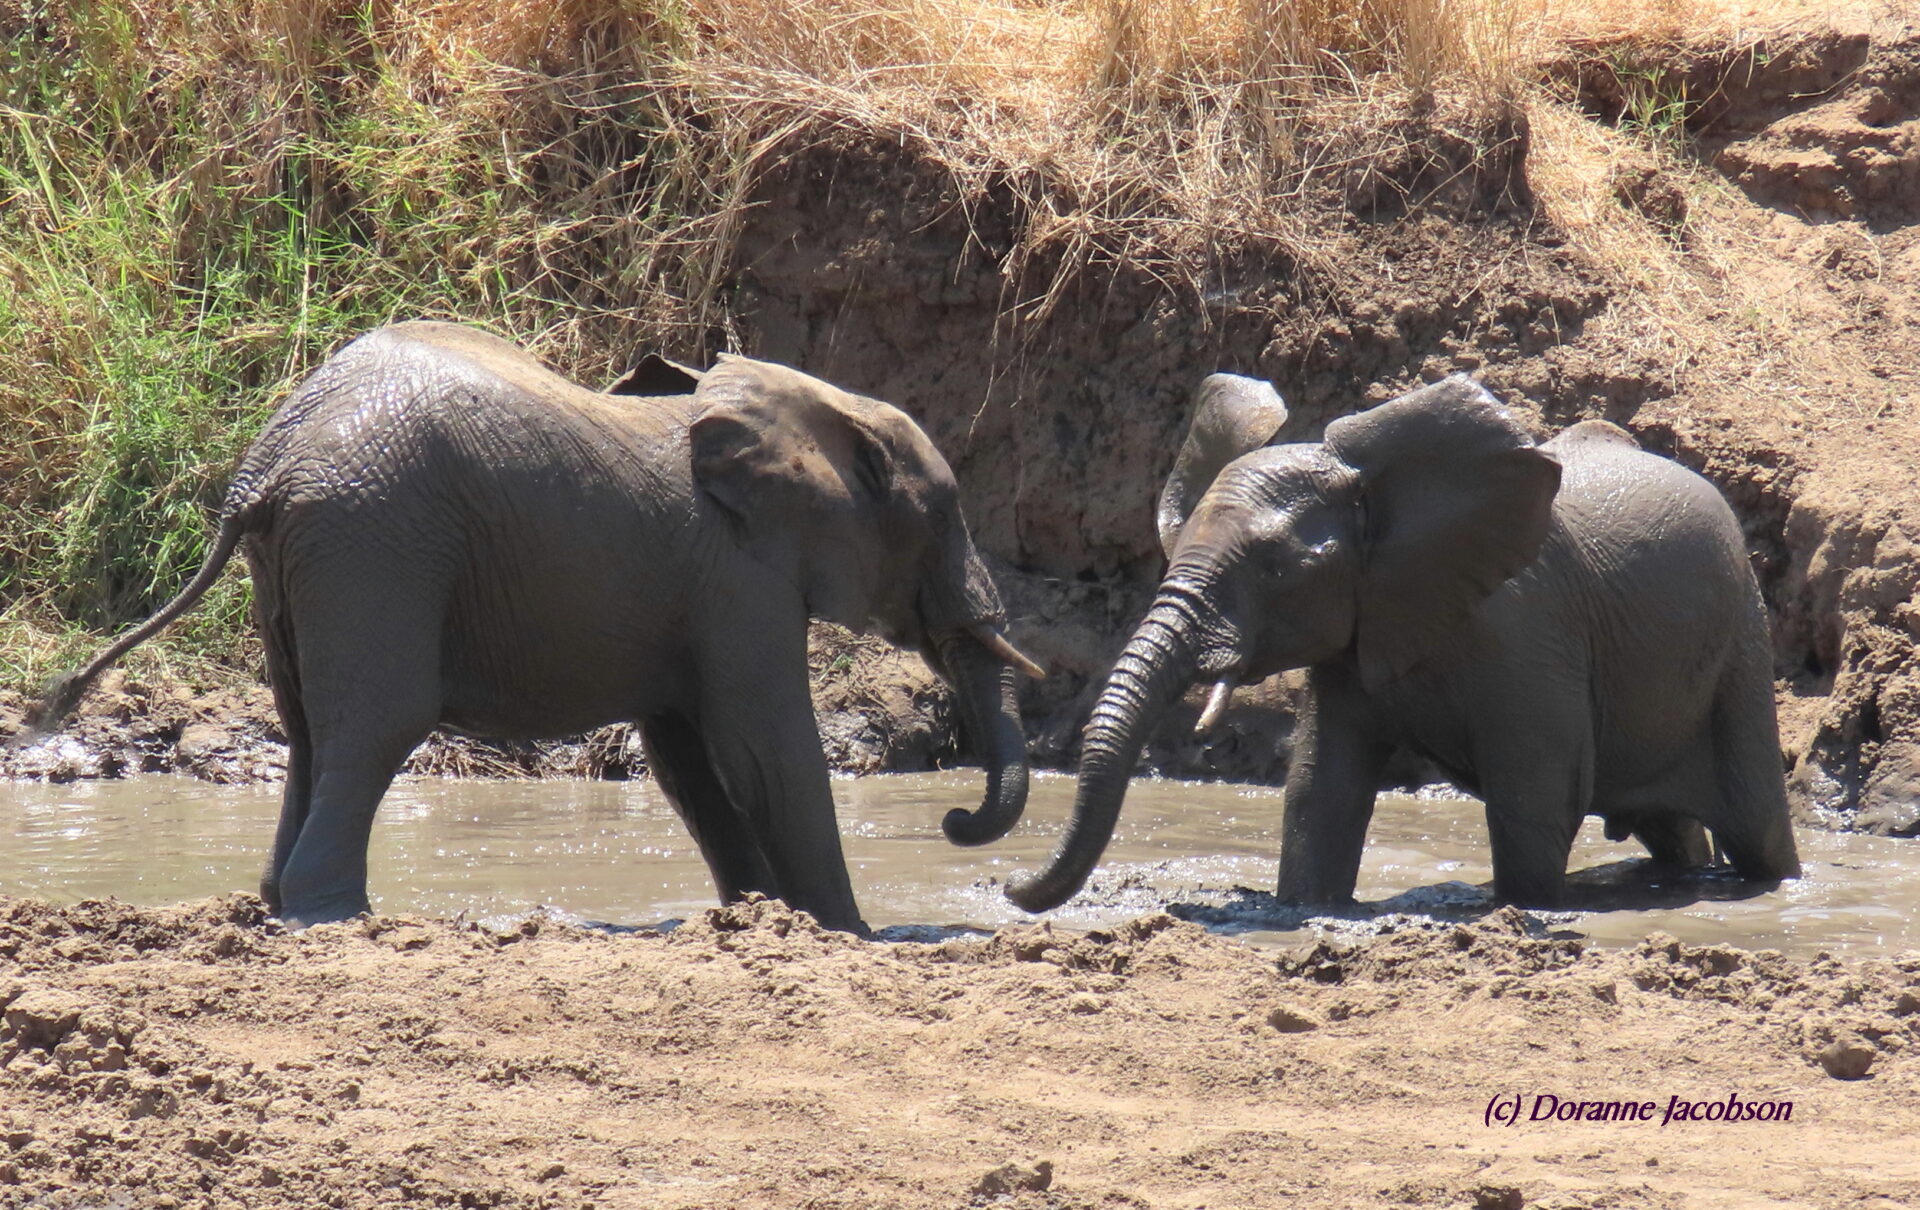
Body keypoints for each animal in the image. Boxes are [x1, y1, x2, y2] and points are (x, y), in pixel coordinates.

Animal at [35, 321, 1043, 933]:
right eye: (944, 517)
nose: (957, 819)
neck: (806, 404)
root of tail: (265, 466)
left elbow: (689, 763)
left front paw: (762, 919)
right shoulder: (740, 578)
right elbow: (766, 749)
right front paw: (848, 932)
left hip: (310, 559)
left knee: (309, 733)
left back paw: (282, 904)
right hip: (374, 542)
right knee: (375, 727)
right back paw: (334, 916)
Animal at [1006, 372, 1800, 913]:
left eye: (1273, 569)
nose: (1012, 883)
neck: (1373, 492)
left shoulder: (1529, 634)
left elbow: (1534, 800)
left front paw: (1522, 910)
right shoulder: (1357, 630)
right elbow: (1319, 790)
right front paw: (1306, 908)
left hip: (1741, 640)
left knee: (1758, 830)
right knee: (1676, 832)